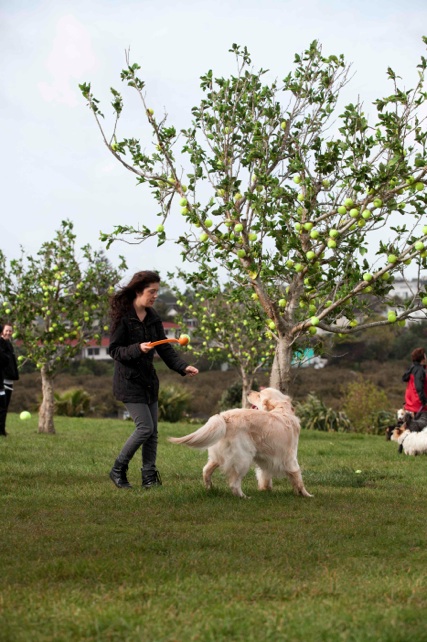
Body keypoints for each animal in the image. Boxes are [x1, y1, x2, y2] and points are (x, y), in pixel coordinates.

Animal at [169, 384, 312, 496]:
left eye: (259, 395)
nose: (248, 392)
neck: (282, 411)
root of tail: (224, 416)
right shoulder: (290, 458)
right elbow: (297, 476)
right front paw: (306, 494)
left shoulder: (267, 459)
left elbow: (265, 475)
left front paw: (265, 489)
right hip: (243, 459)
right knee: (234, 483)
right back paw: (244, 497)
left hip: (218, 457)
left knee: (206, 470)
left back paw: (210, 489)